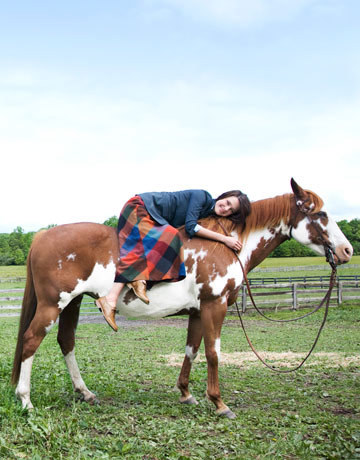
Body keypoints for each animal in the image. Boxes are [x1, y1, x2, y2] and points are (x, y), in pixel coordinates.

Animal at [11, 180, 354, 416]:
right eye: (321, 214)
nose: (346, 250)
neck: (226, 245)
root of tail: (43, 234)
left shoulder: (198, 311)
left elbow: (192, 350)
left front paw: (187, 394)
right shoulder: (215, 307)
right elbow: (214, 353)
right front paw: (219, 403)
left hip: (72, 303)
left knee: (66, 342)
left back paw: (85, 393)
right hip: (53, 305)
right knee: (31, 340)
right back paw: (26, 400)